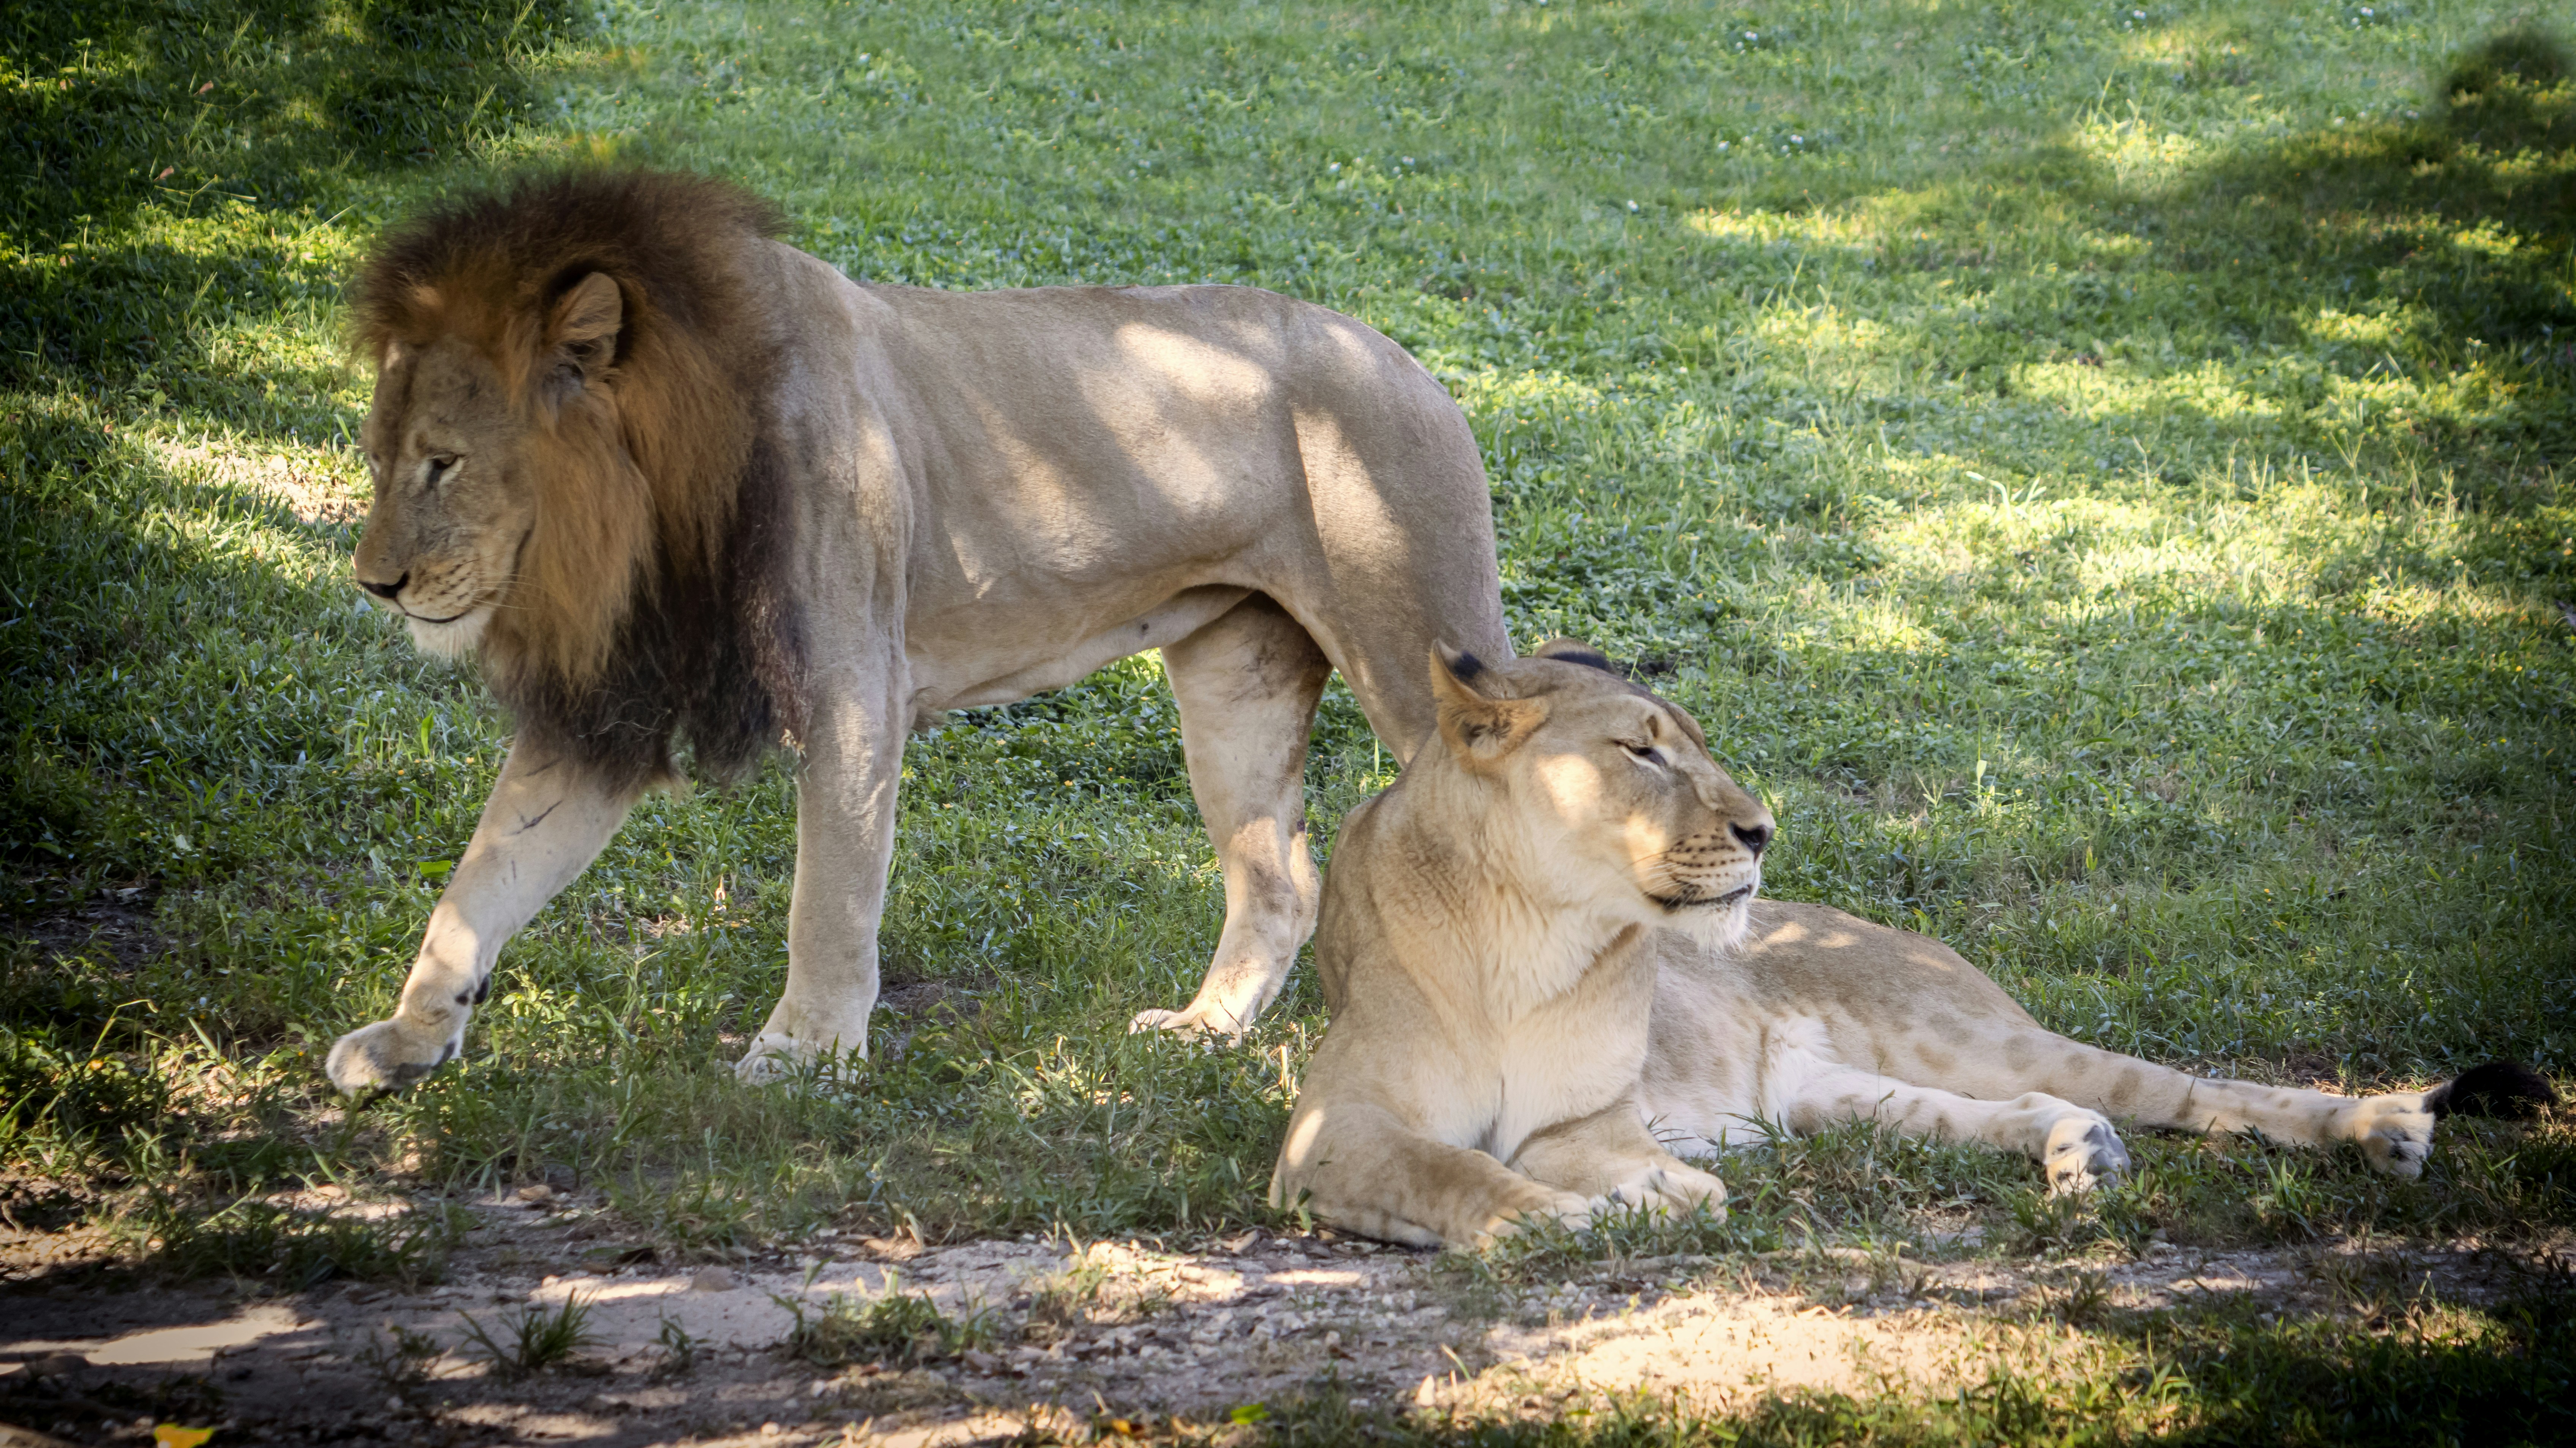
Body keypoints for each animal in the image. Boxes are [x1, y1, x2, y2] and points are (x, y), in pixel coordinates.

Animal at [323, 170, 1510, 1092]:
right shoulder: (610, 705)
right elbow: (482, 878)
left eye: (444, 462)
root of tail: (1403, 356)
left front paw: (804, 1054)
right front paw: (410, 1038)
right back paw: (1202, 1031)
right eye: (380, 458)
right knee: (1280, 879)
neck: (650, 509)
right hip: (1236, 683)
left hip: (1413, 646)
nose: (375, 585)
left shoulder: (855, 687)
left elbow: (830, 896)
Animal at [1273, 643, 2557, 1247]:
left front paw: (1656, 1197)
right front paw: (1603, 1210)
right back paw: (2079, 1159)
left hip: (1962, 1036)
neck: (1529, 924)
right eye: (1639, 750)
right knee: (2021, 1111)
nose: (1761, 827)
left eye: (1691, 743)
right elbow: (1452, 1169)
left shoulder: (1585, 1119)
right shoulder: (1331, 1129)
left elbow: (1566, 1163)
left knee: (2199, 1091)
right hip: (1834, 1094)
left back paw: (2380, 1129)